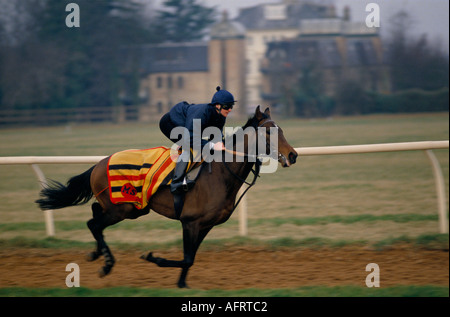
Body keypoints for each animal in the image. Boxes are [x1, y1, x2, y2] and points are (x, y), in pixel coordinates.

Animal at [36, 105, 298, 286]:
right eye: (269, 132)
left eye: (282, 129)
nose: (293, 155)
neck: (221, 173)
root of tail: (99, 163)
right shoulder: (190, 222)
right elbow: (187, 257)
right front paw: (154, 258)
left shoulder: (206, 225)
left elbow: (190, 257)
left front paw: (181, 283)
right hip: (123, 209)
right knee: (94, 223)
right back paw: (107, 264)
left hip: (131, 208)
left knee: (94, 215)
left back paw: (95, 254)